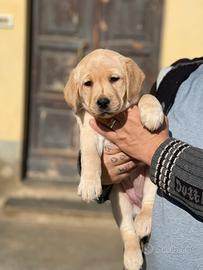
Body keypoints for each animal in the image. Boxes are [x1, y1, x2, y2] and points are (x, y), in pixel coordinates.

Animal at [64, 49, 164, 270]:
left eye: (114, 79)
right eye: (88, 83)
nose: (102, 102)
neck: (113, 118)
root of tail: (136, 207)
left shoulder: (136, 100)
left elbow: (147, 95)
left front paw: (153, 115)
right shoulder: (89, 133)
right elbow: (90, 157)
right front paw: (89, 185)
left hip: (151, 177)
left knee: (148, 204)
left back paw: (143, 222)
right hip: (120, 199)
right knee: (128, 230)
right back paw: (132, 257)